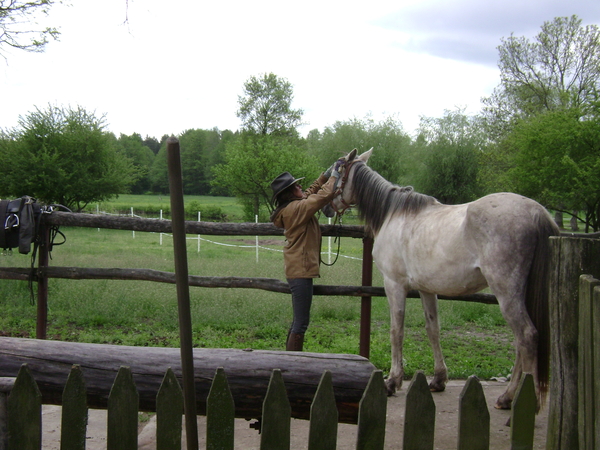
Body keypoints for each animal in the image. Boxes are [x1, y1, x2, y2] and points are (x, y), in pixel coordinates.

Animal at [328, 148, 556, 408]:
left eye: (335, 171)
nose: (325, 208)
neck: (392, 215)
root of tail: (536, 211)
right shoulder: (427, 289)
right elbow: (433, 329)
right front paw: (438, 380)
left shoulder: (394, 284)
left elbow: (397, 331)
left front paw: (392, 381)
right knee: (521, 342)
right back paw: (506, 398)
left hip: (506, 293)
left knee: (526, 337)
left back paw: (518, 399)